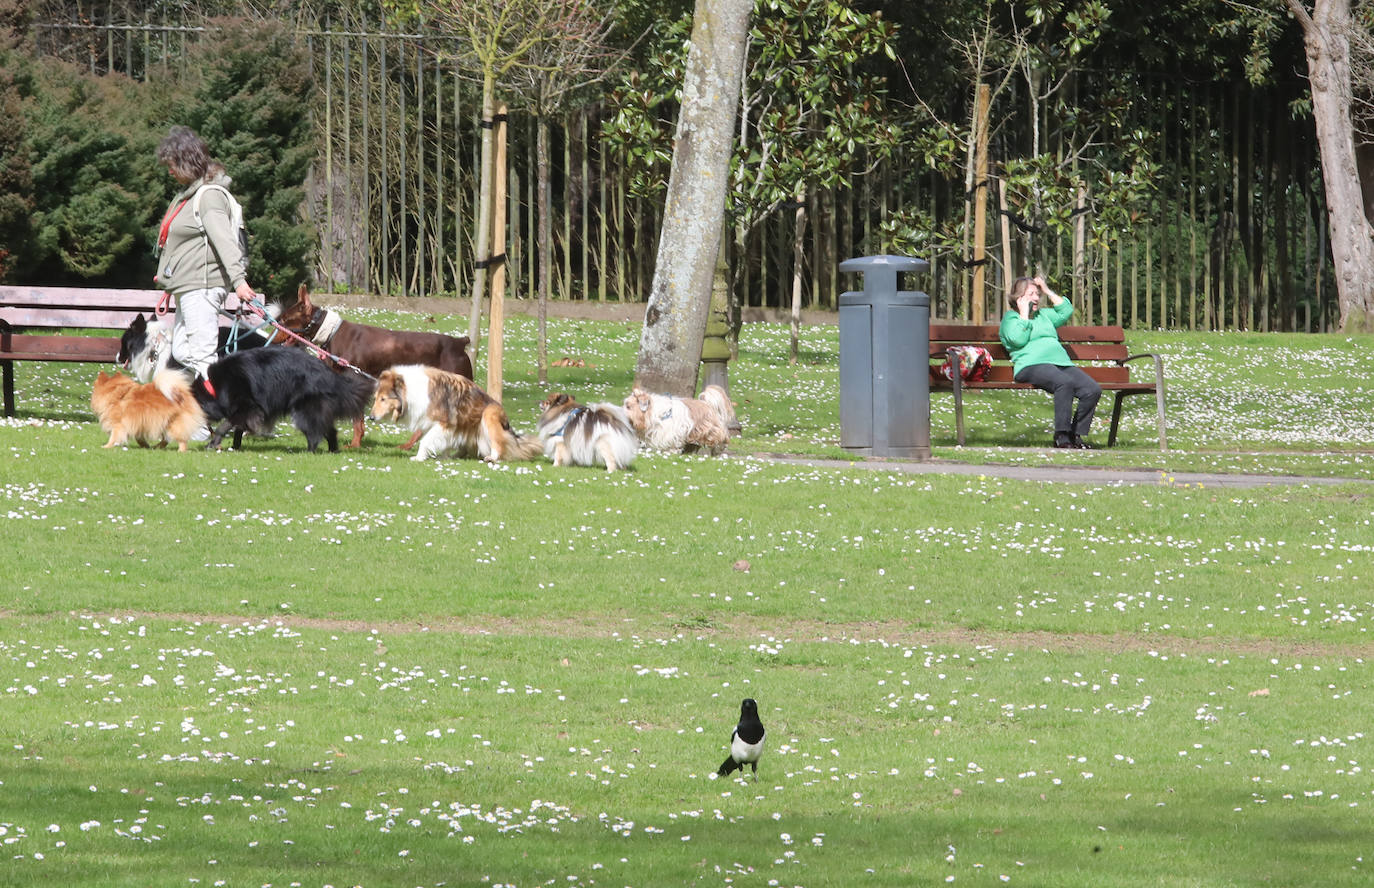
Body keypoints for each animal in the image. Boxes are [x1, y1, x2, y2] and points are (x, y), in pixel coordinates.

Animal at [193, 347, 373, 456]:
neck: (215, 387)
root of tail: (332, 376)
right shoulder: (247, 411)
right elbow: (238, 428)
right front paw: (235, 447)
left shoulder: (249, 406)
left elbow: (226, 425)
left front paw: (213, 443)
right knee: (330, 430)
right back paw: (333, 451)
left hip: (305, 410)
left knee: (315, 432)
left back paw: (308, 452)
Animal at [370, 365, 541, 467]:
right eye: (375, 398)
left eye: (383, 399)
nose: (371, 417)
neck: (410, 391)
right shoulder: (438, 425)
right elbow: (442, 442)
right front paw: (443, 457)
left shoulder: (445, 423)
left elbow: (425, 441)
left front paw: (418, 458)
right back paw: (455, 456)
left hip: (489, 415)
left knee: (498, 445)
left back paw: (491, 458)